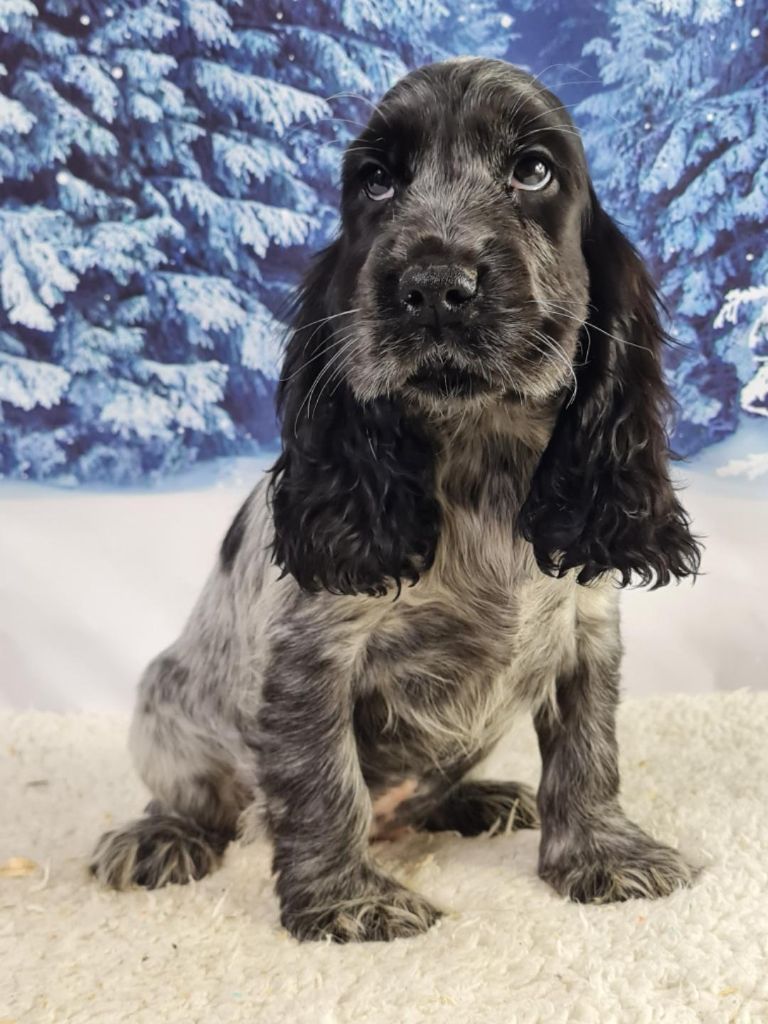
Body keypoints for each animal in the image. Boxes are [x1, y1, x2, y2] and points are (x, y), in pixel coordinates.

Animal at [91, 57, 701, 942]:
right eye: (376, 182)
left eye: (534, 170)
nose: (435, 285)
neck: (482, 455)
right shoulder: (312, 654)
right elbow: (323, 784)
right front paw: (348, 900)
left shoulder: (589, 633)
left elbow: (589, 755)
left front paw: (600, 854)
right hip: (166, 706)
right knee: (206, 801)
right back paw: (164, 837)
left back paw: (480, 798)